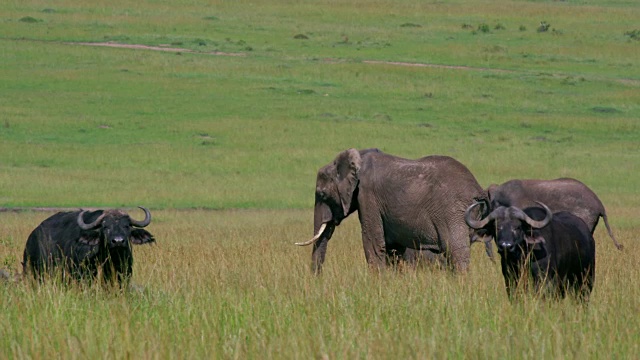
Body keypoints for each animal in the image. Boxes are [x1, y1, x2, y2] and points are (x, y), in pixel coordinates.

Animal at [296, 148, 490, 272]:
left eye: (322, 194)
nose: (317, 280)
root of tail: (478, 188)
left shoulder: (368, 196)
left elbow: (372, 242)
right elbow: (392, 248)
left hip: (453, 212)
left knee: (456, 251)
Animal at [464, 202, 596, 300]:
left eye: (517, 227)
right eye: (497, 227)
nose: (506, 246)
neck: (521, 259)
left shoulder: (545, 281)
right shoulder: (510, 280)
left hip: (586, 282)